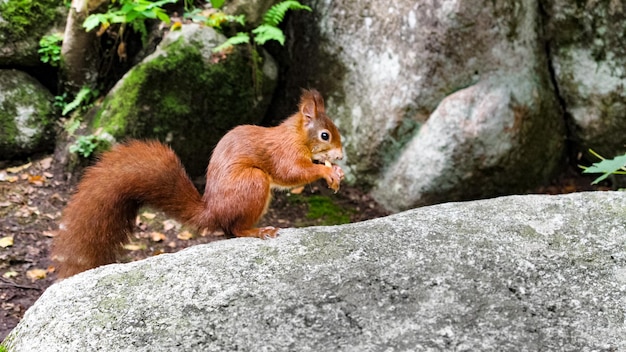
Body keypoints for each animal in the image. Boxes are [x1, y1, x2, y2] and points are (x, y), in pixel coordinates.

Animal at [53, 88, 344, 278]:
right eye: (325, 135)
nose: (341, 156)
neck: (297, 136)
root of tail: (212, 211)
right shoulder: (284, 152)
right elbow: (291, 172)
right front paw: (327, 173)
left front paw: (336, 173)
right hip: (254, 182)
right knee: (234, 228)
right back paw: (257, 231)